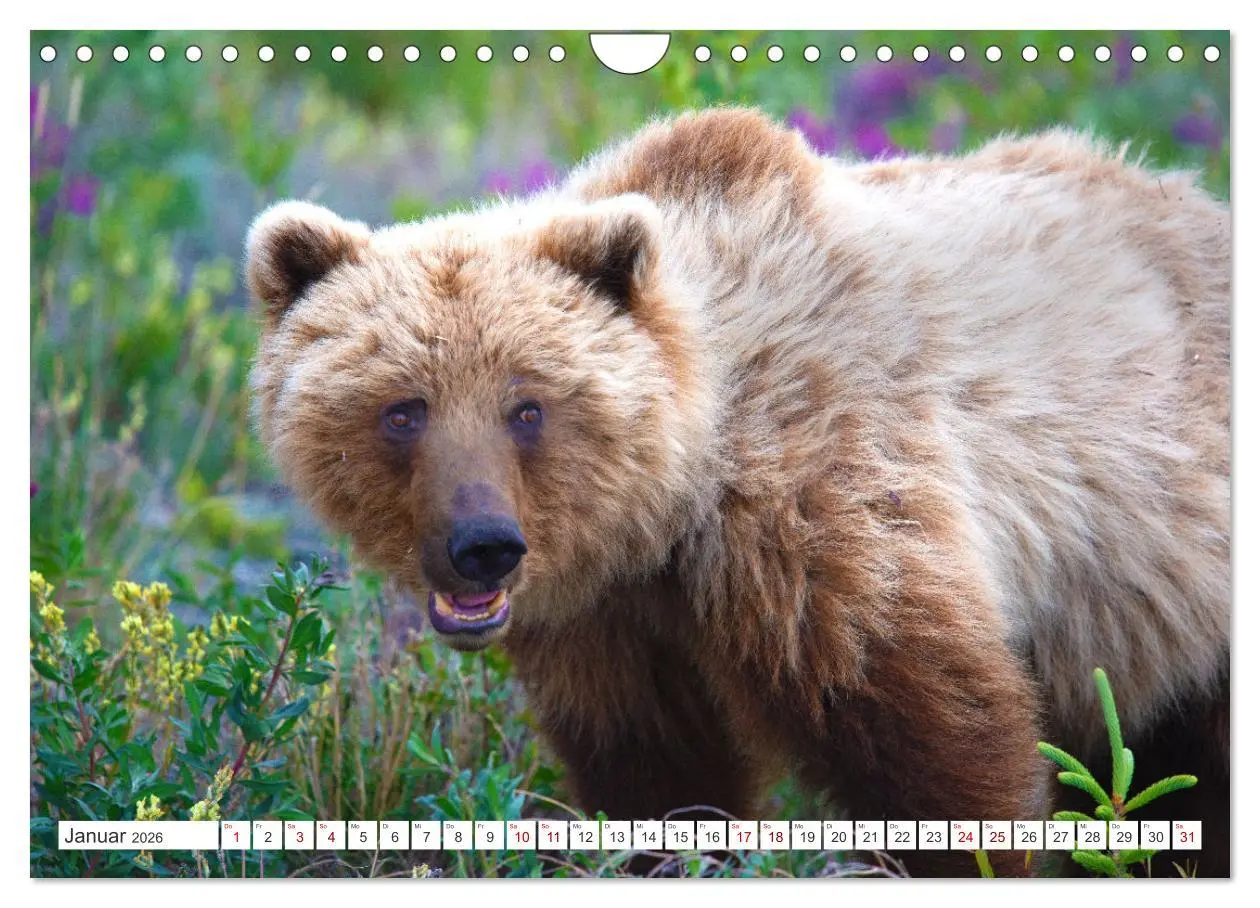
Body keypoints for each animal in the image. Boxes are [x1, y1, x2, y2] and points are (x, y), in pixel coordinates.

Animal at [246, 108, 1230, 878]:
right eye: (402, 408)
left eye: (527, 404)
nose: (481, 544)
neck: (677, 495)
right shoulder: (612, 621)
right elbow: (661, 778)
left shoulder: (824, 526)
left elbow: (935, 747)